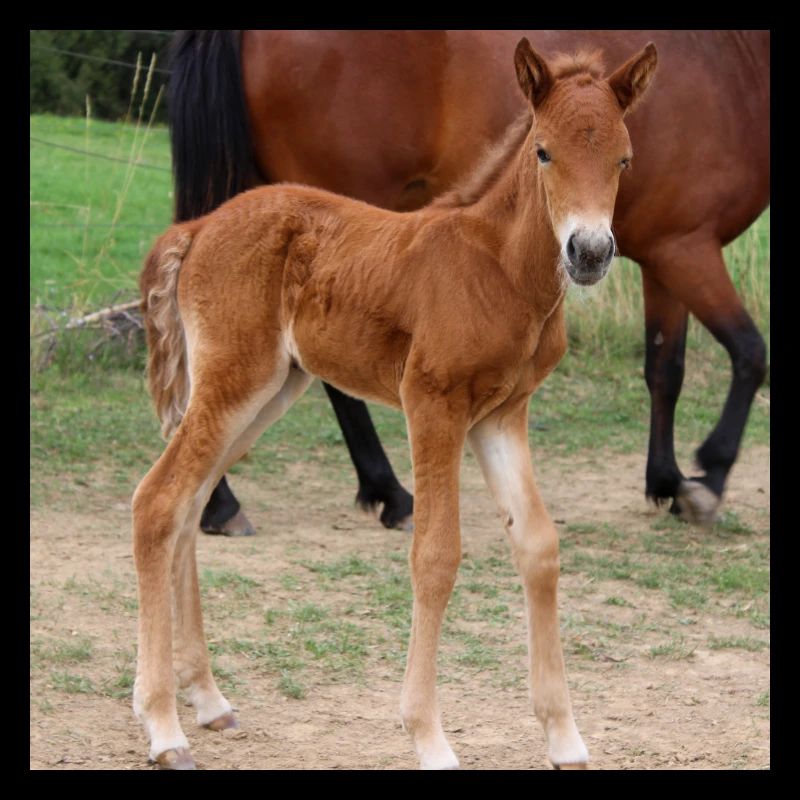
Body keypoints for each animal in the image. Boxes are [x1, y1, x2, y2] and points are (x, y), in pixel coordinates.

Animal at [133, 39, 658, 769]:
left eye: (624, 158)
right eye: (544, 152)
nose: (589, 252)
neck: (498, 269)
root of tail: (200, 225)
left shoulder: (501, 415)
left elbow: (539, 547)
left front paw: (564, 737)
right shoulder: (433, 402)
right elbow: (435, 555)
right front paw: (429, 737)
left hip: (269, 390)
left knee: (188, 506)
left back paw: (208, 700)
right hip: (235, 379)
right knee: (158, 501)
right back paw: (162, 726)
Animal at [168, 30, 769, 534]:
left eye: (626, 160)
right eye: (543, 152)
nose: (590, 253)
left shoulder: (664, 255)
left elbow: (665, 367)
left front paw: (666, 480)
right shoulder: (688, 248)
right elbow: (750, 353)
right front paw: (708, 479)